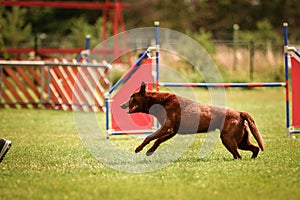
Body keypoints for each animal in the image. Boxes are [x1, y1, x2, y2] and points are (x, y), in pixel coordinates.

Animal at [120, 82, 264, 159]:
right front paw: (150, 151)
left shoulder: (167, 128)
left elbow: (149, 137)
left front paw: (139, 149)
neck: (159, 102)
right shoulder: (171, 131)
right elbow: (157, 140)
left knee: (239, 155)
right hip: (241, 141)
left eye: (132, 97)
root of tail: (239, 113)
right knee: (255, 148)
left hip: (228, 138)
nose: (121, 105)